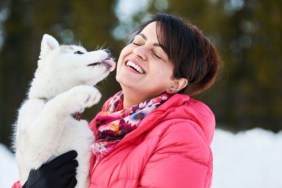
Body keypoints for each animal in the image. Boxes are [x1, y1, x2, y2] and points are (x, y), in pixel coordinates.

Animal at [13, 34, 115, 188]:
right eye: (79, 52)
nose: (108, 51)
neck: (70, 118)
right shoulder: (33, 151)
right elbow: (55, 104)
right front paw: (82, 93)